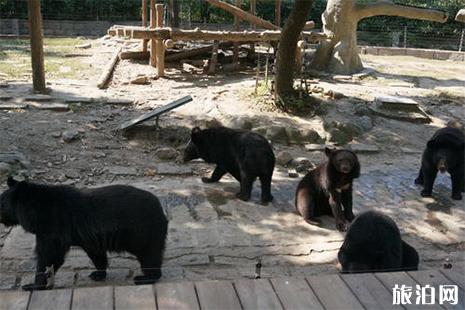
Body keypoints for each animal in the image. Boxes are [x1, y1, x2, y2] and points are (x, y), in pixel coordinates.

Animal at [0, 178, 167, 290]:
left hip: (142, 231)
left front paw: (33, 284)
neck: (32, 212)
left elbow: (49, 254)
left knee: (150, 255)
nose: (0, 218)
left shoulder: (53, 225)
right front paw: (98, 274)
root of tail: (160, 208)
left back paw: (145, 277)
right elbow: (96, 253)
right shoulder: (89, 237)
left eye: (0, 202)